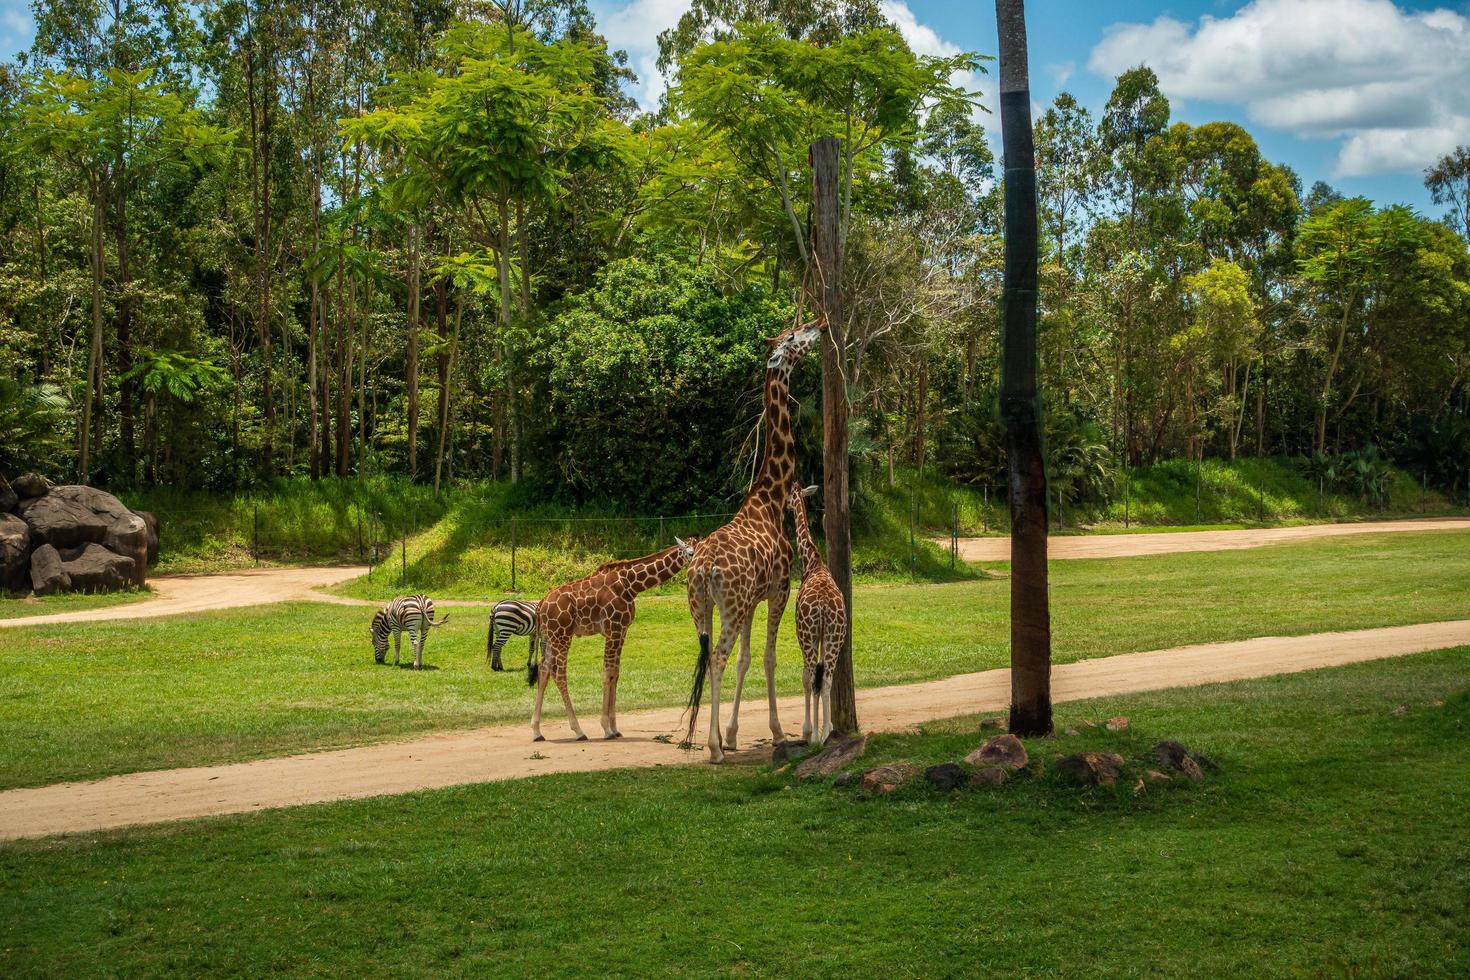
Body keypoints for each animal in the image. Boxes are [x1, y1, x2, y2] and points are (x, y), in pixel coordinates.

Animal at [532, 540, 696, 740]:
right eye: (690, 553)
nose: (697, 563)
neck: (631, 585)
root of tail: (541, 605)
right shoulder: (613, 629)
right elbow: (607, 673)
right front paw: (606, 728)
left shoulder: (622, 631)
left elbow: (615, 674)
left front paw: (615, 728)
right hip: (562, 635)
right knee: (559, 674)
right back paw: (578, 731)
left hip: (550, 637)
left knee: (544, 670)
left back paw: (537, 731)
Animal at [682, 321, 823, 764]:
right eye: (793, 338)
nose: (818, 326)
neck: (770, 498)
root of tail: (703, 568)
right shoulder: (778, 591)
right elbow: (768, 657)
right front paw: (776, 733)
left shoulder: (751, 601)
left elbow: (746, 660)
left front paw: (731, 733)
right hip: (728, 605)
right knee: (717, 658)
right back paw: (712, 750)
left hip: (702, 606)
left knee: (707, 656)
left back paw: (705, 739)